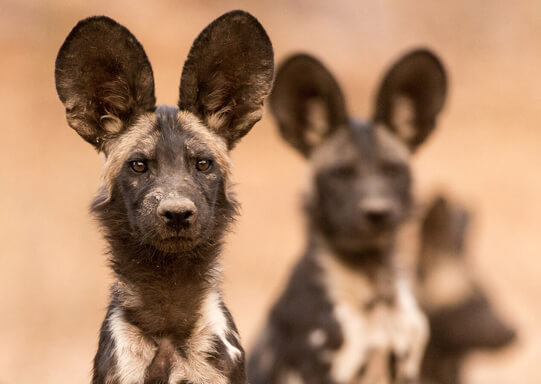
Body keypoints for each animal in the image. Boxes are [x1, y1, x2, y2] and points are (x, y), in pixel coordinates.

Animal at [247, 51, 446, 384]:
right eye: (341, 173)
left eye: (393, 170)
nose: (377, 212)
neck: (374, 285)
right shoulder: (324, 367)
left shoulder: (406, 366)